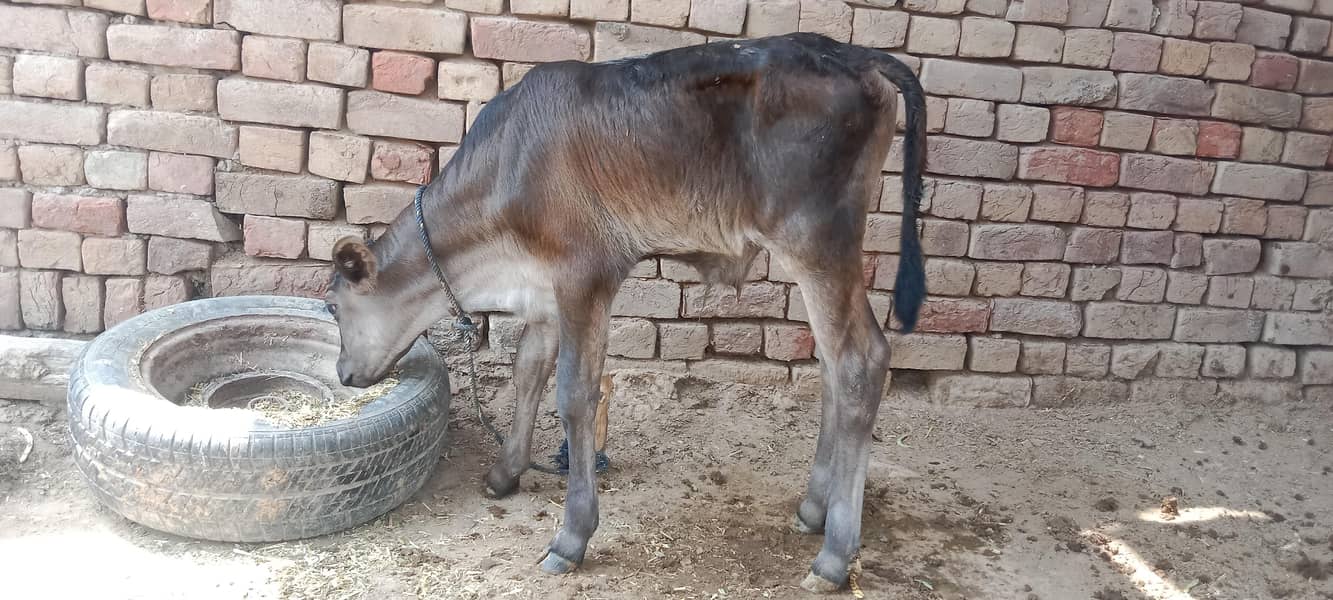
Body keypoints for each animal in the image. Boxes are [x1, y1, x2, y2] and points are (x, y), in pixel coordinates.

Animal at [324, 32, 926, 593]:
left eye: (332, 306)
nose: (343, 373)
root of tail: (850, 52)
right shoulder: (543, 290)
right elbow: (527, 371)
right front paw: (505, 472)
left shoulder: (584, 272)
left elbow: (574, 394)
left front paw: (571, 537)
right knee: (830, 364)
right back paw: (813, 509)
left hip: (818, 240)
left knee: (860, 360)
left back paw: (834, 555)